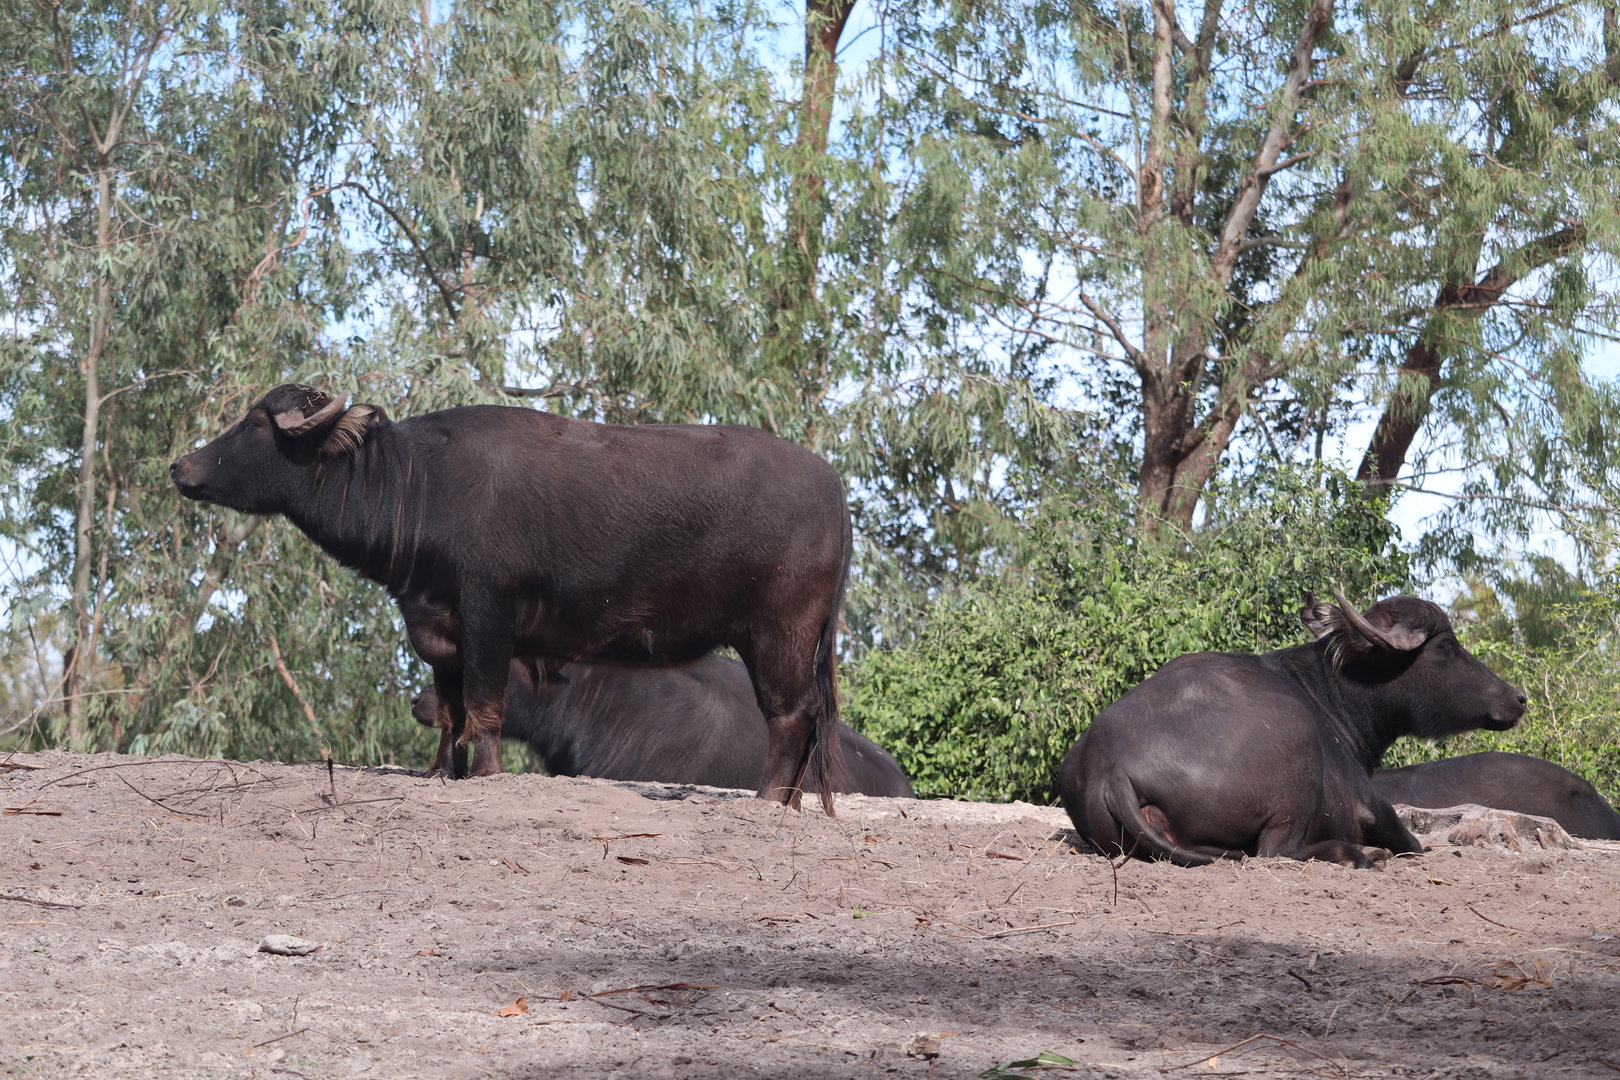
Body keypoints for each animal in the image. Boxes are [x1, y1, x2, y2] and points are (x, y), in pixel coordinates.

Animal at [172, 385, 852, 812]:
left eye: (252, 424)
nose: (180, 467)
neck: (418, 483)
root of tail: (835, 487)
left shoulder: (488, 617)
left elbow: (482, 704)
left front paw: (486, 774)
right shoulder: (437, 626)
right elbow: (450, 711)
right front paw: (441, 773)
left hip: (782, 632)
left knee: (791, 716)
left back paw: (768, 800)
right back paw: (791, 802)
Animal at [1059, 594, 1527, 867]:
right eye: (1446, 647)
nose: (1518, 698)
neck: (1326, 693)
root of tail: (1108, 766)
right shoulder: (1374, 804)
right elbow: (1412, 841)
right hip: (1297, 765)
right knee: (1277, 852)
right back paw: (1361, 853)